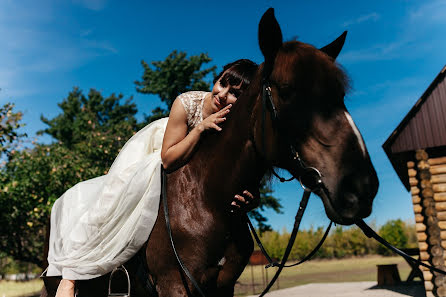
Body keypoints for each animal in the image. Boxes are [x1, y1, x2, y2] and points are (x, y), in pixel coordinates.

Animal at [40, 7, 378, 296]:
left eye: (341, 94)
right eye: (286, 91)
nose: (362, 187)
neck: (206, 200)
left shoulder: (223, 286)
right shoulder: (175, 285)